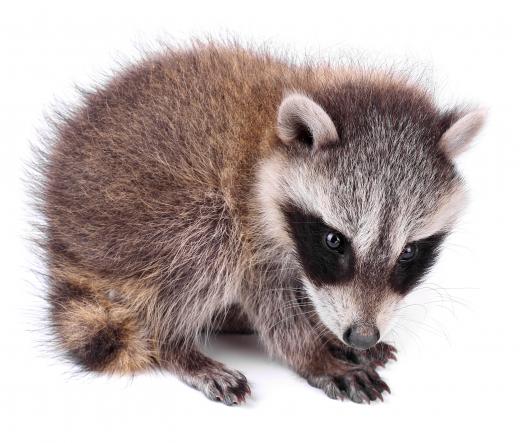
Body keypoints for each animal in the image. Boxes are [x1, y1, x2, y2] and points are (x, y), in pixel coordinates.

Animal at [33, 41, 484, 406]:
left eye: (408, 251)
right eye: (334, 241)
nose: (360, 335)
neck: (268, 144)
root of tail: (59, 233)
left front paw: (327, 333)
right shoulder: (249, 221)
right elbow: (272, 303)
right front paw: (314, 352)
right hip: (136, 219)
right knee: (205, 248)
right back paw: (176, 344)